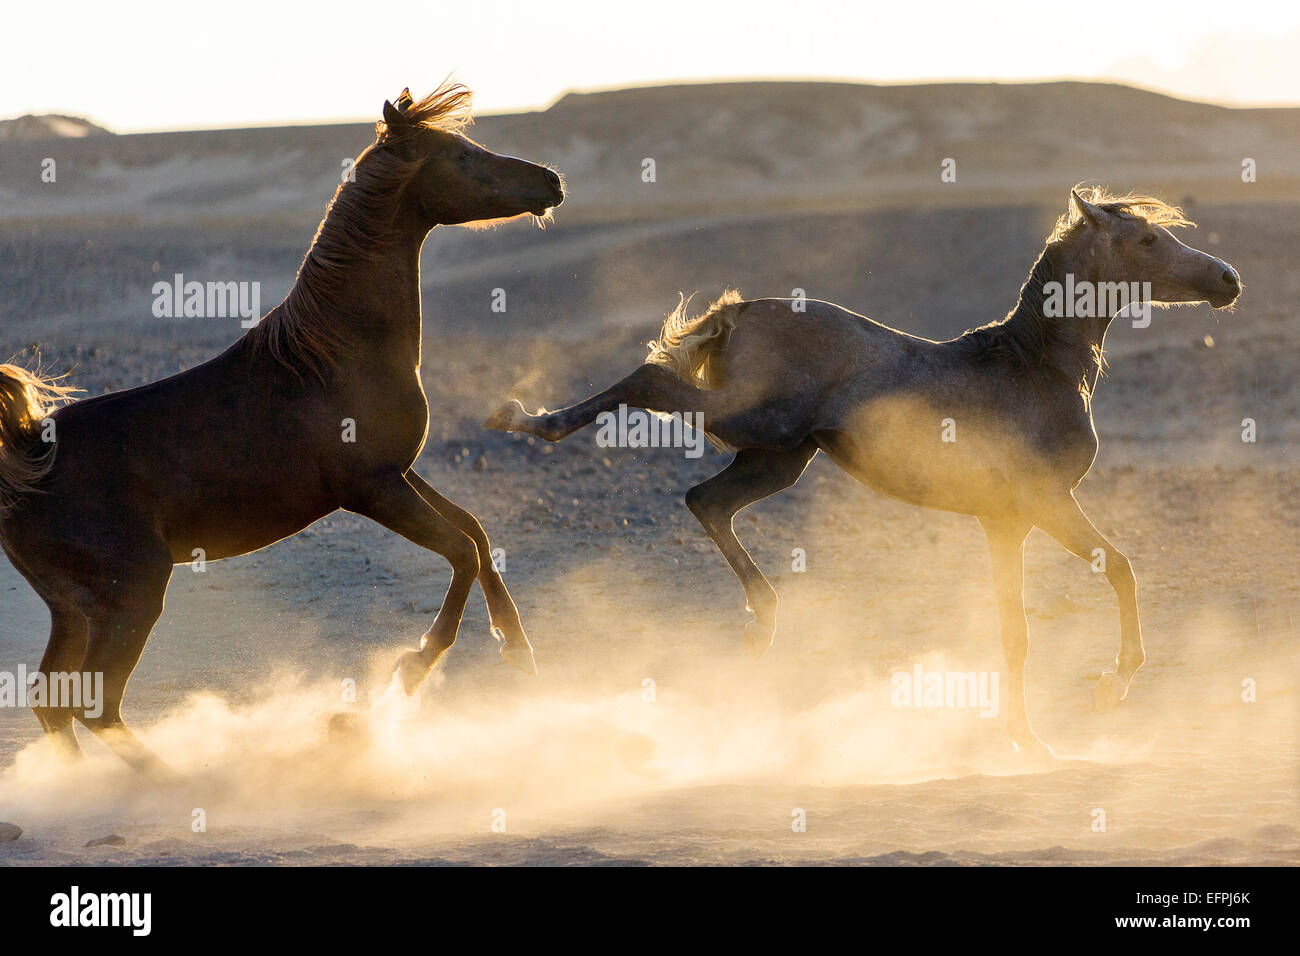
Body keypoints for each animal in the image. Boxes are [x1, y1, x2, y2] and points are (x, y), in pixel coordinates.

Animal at [0, 83, 565, 773]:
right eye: (461, 156)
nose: (552, 181)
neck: (338, 351)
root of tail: (26, 453)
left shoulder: (397, 474)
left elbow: (477, 535)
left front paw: (517, 645)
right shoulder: (371, 489)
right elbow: (460, 550)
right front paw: (411, 669)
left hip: (74, 608)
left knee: (55, 705)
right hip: (131, 593)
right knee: (95, 703)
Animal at [486, 187, 1242, 757]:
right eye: (1147, 240)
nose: (1227, 281)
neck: (1036, 367)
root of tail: (742, 311)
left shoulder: (1005, 523)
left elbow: (1015, 634)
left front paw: (1028, 741)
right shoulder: (1046, 503)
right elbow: (1121, 570)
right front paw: (1112, 687)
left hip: (780, 456)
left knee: (706, 500)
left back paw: (762, 624)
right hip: (755, 422)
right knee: (651, 385)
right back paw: (524, 418)